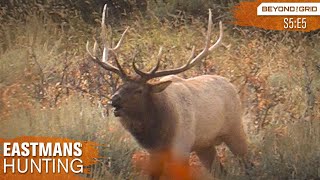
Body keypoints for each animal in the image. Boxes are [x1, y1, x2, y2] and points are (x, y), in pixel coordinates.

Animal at [87, 3, 250, 179]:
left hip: (235, 130)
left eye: (139, 91)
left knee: (248, 163)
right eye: (120, 86)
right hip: (204, 144)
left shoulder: (182, 147)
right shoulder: (154, 152)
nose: (114, 100)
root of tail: (232, 86)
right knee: (220, 171)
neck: (160, 134)